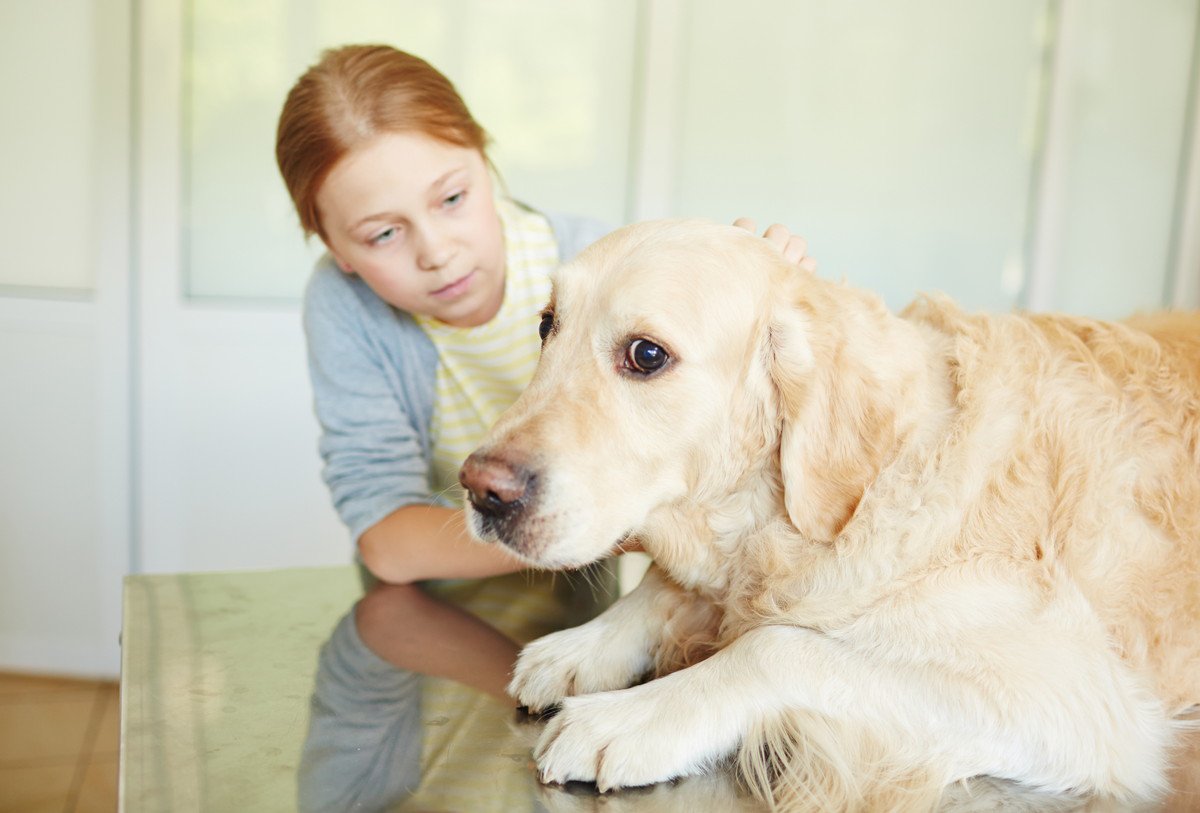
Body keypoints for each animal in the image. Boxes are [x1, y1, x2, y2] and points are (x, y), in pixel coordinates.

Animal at [453, 219, 1195, 810]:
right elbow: (672, 588)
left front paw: (629, 718)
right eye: (546, 324)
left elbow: (777, 645)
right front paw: (585, 645)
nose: (480, 489)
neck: (869, 484)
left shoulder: (1079, 703)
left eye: (646, 354)